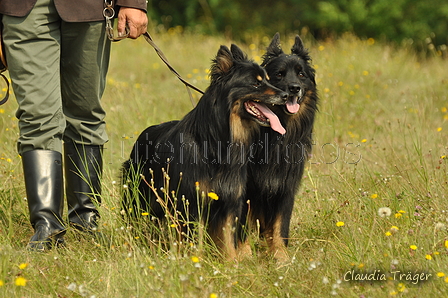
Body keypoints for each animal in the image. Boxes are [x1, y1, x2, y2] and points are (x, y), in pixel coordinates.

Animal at [122, 43, 288, 260]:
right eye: (255, 83)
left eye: (268, 79)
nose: (286, 95)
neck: (217, 143)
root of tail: (145, 133)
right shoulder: (191, 204)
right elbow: (195, 241)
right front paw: (196, 262)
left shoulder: (228, 203)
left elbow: (227, 242)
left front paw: (231, 264)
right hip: (137, 198)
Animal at [242, 32, 318, 260]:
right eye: (279, 75)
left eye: (301, 74)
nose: (294, 88)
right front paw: (245, 254)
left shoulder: (286, 186)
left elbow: (279, 226)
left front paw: (281, 257)